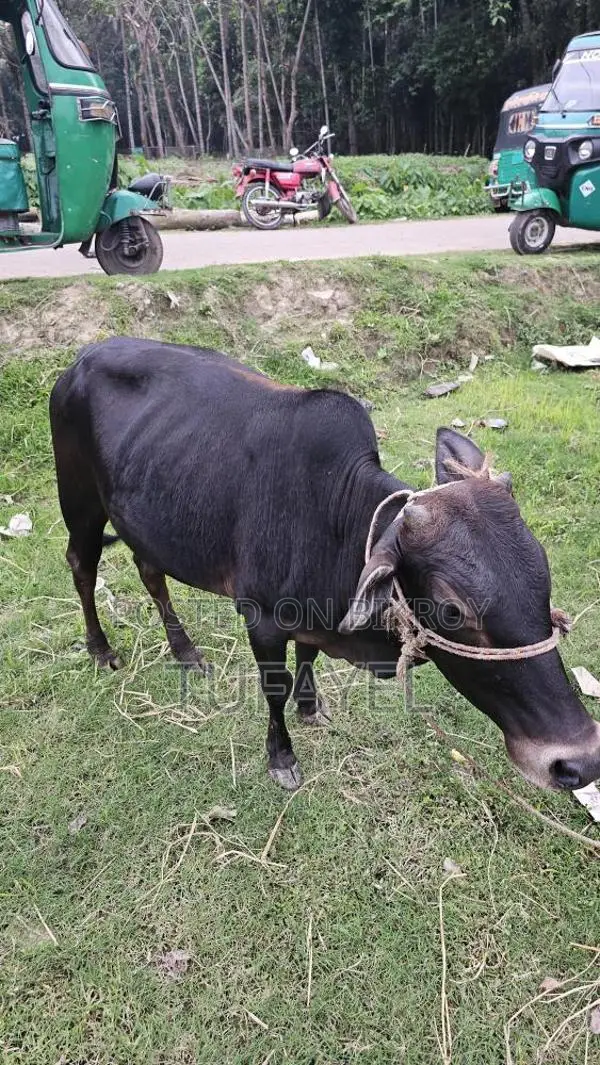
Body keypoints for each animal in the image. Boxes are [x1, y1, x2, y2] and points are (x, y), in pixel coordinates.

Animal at [49, 337, 600, 793]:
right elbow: (274, 689)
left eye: (544, 580)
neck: (333, 519)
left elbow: (308, 658)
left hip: (145, 518)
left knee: (150, 573)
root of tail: (81, 359)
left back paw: (185, 652)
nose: (579, 762)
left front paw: (311, 708)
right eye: (451, 609)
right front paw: (281, 757)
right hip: (80, 502)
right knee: (82, 566)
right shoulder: (262, 619)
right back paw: (100, 649)